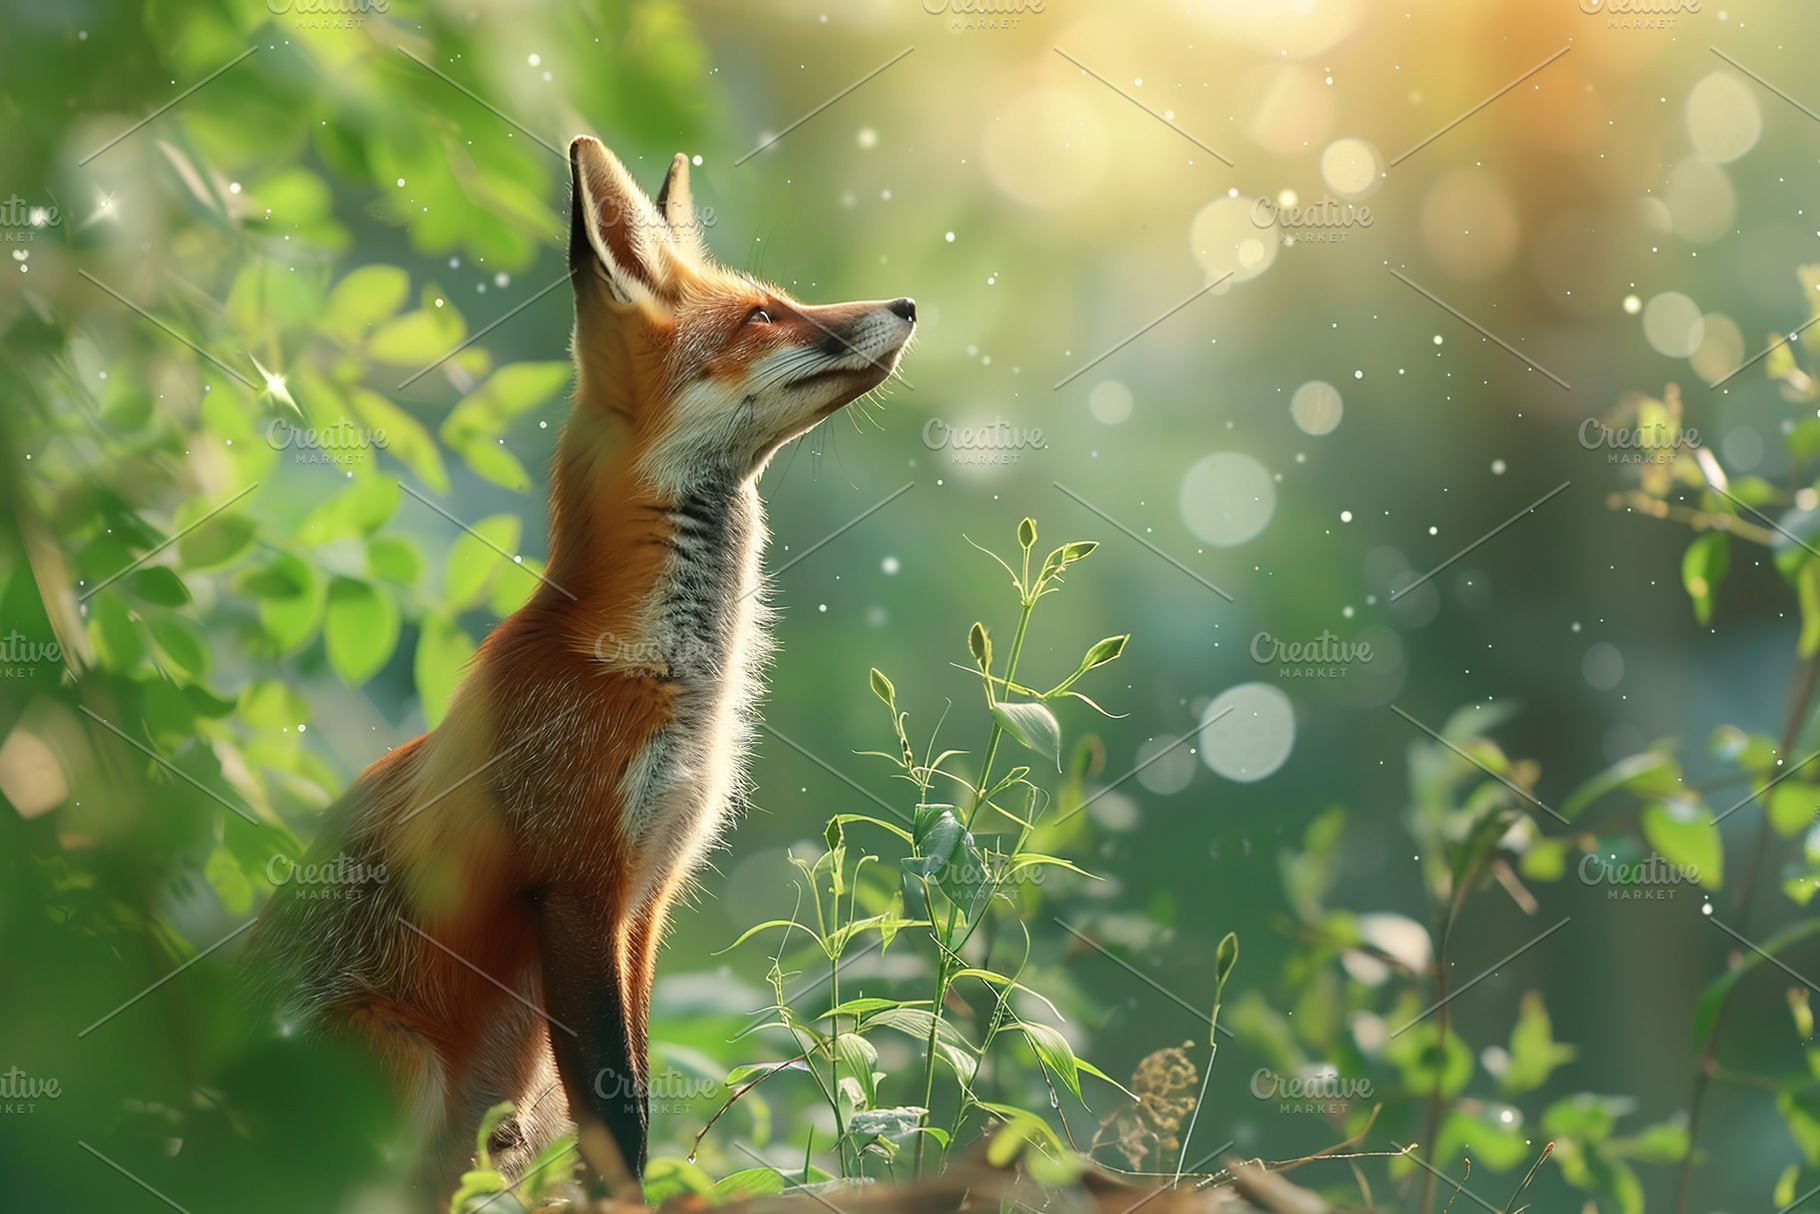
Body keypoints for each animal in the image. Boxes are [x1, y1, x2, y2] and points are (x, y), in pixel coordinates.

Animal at [248, 135, 916, 1203]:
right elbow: (620, 1105)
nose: (905, 306)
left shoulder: (648, 895)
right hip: (406, 1066)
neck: (666, 681)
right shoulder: (575, 883)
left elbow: (630, 1081)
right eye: (764, 315)